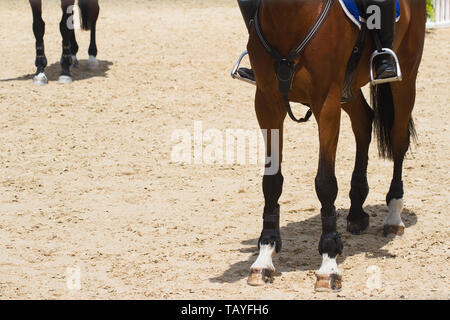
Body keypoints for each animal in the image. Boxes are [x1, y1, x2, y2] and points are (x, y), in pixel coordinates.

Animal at [237, 0, 428, 292]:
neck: (289, 14)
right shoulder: (267, 102)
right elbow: (271, 181)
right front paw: (264, 256)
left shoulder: (326, 102)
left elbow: (325, 183)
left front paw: (328, 263)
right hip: (348, 90)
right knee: (364, 122)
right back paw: (357, 211)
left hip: (405, 79)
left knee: (398, 140)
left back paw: (394, 216)